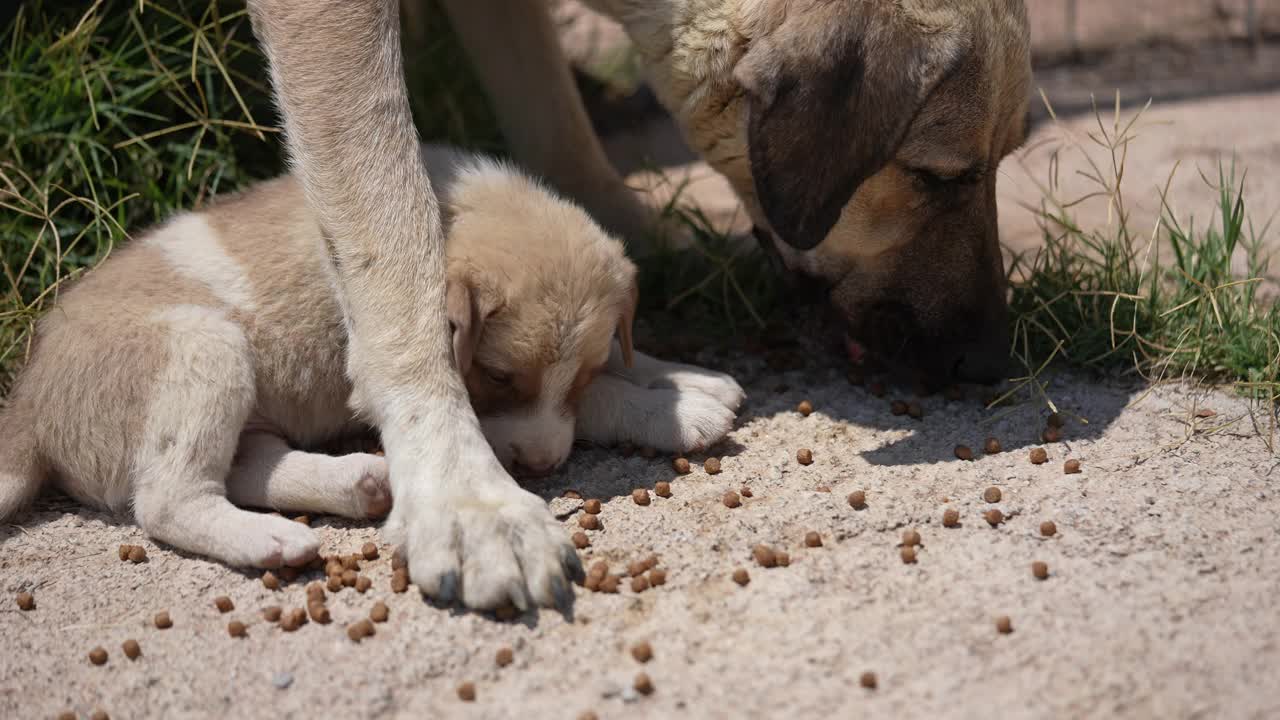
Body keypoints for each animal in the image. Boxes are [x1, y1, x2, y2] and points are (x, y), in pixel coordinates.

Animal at [0, 147, 742, 571]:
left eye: (580, 370)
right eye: (499, 377)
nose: (543, 466)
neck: (459, 207)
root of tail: (27, 406)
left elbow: (618, 362)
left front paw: (688, 377)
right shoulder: (434, 384)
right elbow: (597, 403)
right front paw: (677, 413)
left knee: (246, 463)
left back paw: (358, 481)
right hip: (204, 346)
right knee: (166, 499)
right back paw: (269, 541)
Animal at [240, 0, 1034, 607]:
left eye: (1003, 163)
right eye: (937, 178)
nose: (990, 359)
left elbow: (558, 129)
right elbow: (395, 242)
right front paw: (462, 493)